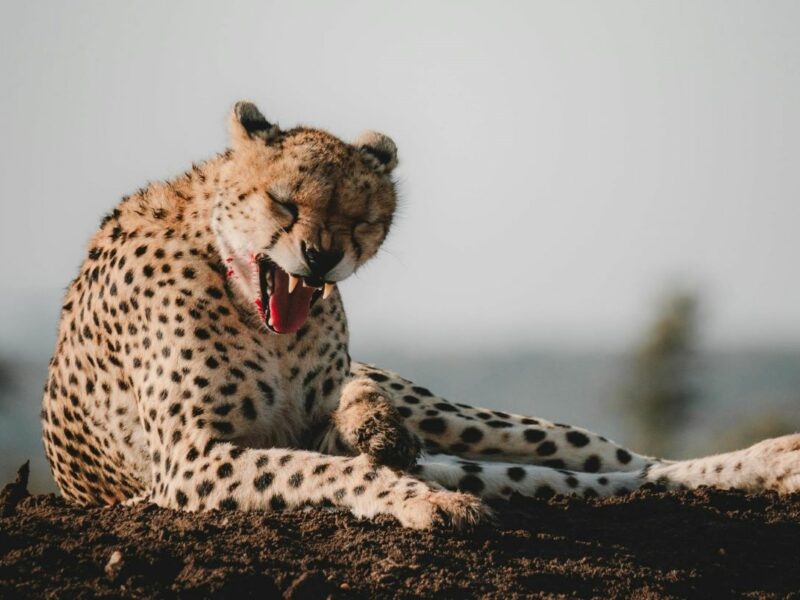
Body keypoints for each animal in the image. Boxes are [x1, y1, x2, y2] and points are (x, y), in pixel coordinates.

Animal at [41, 101, 800, 529]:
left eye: (360, 217)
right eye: (284, 201)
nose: (320, 256)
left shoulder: (272, 437)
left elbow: (335, 451)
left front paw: (379, 442)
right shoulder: (192, 457)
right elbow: (323, 470)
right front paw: (421, 500)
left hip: (449, 416)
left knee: (628, 463)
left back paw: (766, 462)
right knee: (599, 480)